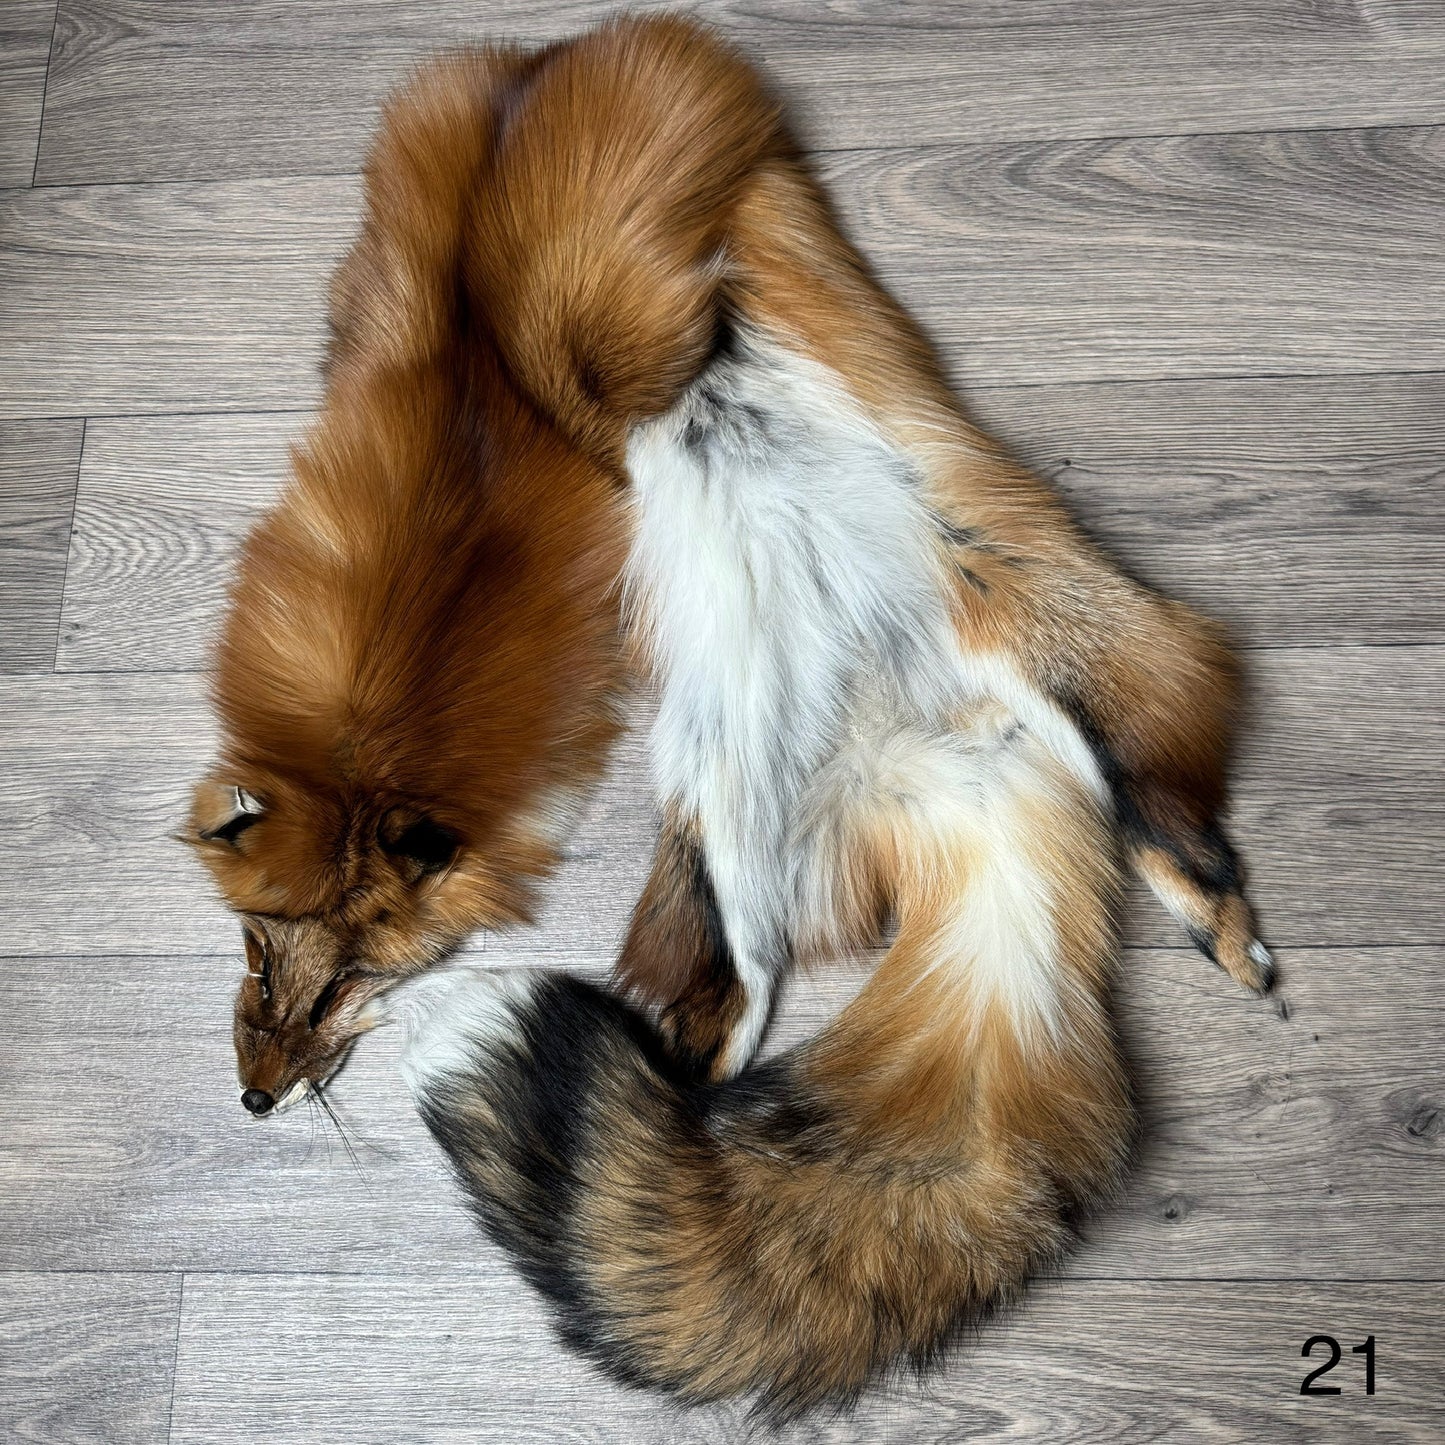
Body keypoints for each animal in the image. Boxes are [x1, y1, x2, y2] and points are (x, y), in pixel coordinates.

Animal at [188, 15, 1270, 1416]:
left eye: (341, 981)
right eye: (260, 959)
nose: (256, 1103)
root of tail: (949, 768)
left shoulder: (601, 247)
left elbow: (569, 301)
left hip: (1084, 672)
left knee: (1172, 818)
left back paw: (1223, 923)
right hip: (726, 837)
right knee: (717, 1035)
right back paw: (672, 1106)